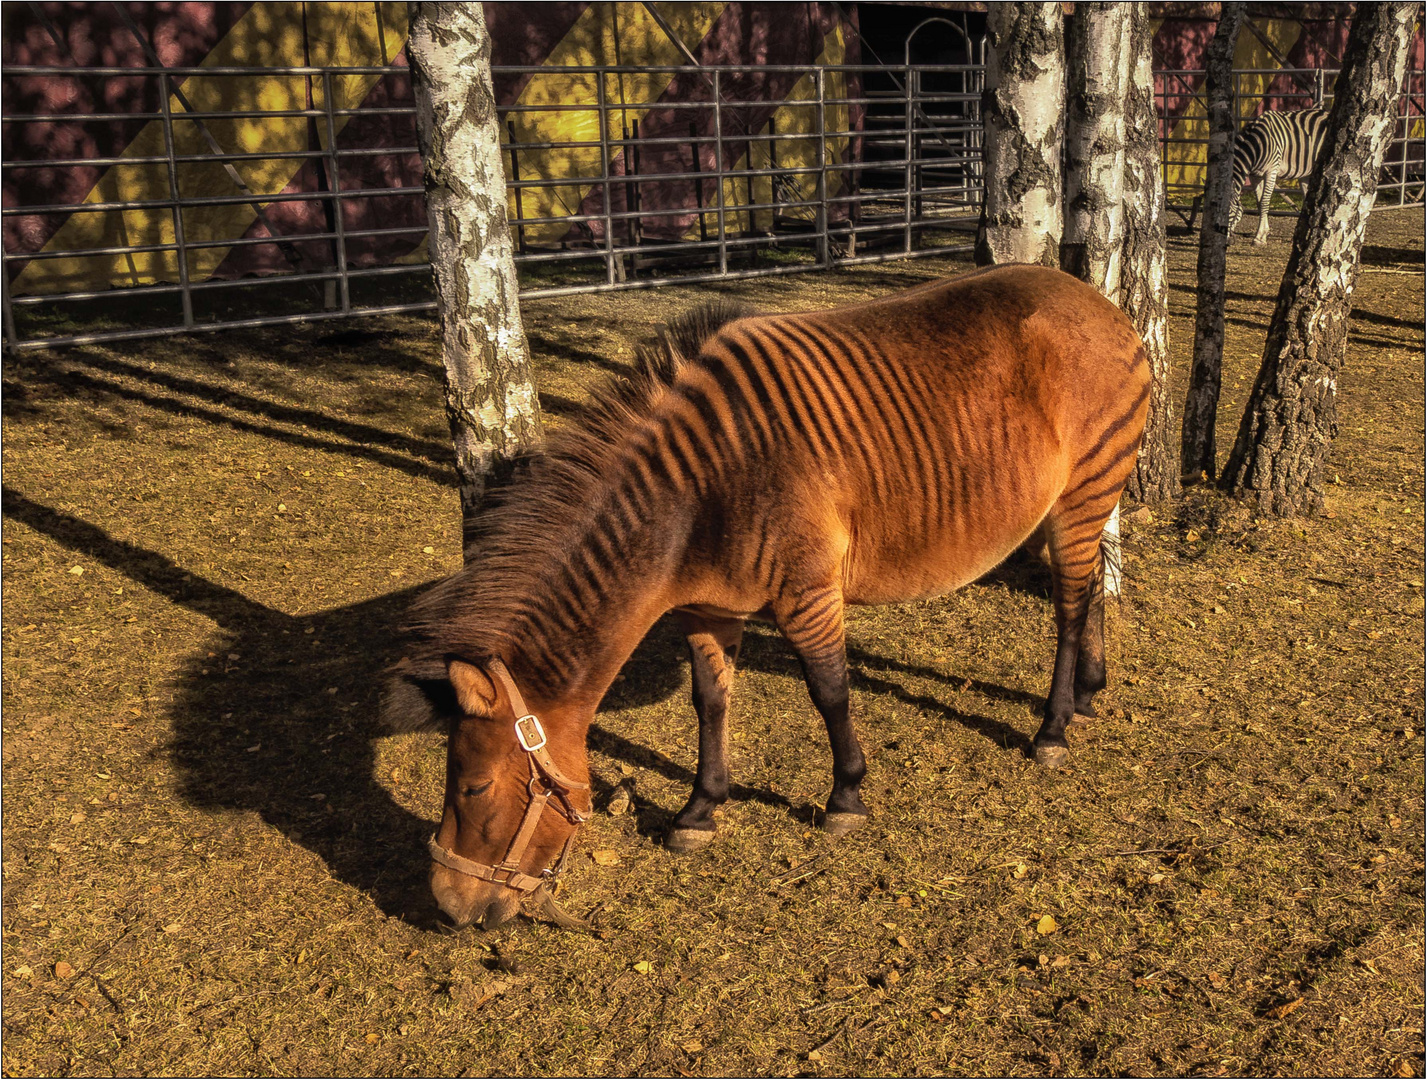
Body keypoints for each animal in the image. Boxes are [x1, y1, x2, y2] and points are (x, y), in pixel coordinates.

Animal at [385, 263, 1153, 924]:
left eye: (474, 788)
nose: (448, 907)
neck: (698, 495)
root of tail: (1099, 303)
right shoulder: (706, 608)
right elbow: (710, 702)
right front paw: (701, 809)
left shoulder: (806, 592)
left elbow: (830, 691)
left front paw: (846, 796)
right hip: (1084, 500)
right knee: (1092, 590)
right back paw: (1089, 693)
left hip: (1081, 491)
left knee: (1069, 608)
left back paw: (1052, 727)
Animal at [1187, 105, 1329, 246]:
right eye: (1210, 210)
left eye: (1227, 212)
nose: (1224, 242)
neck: (1256, 145)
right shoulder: (1255, 175)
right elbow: (1259, 203)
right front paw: (1263, 234)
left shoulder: (1271, 171)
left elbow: (1265, 202)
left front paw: (1259, 237)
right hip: (1307, 173)